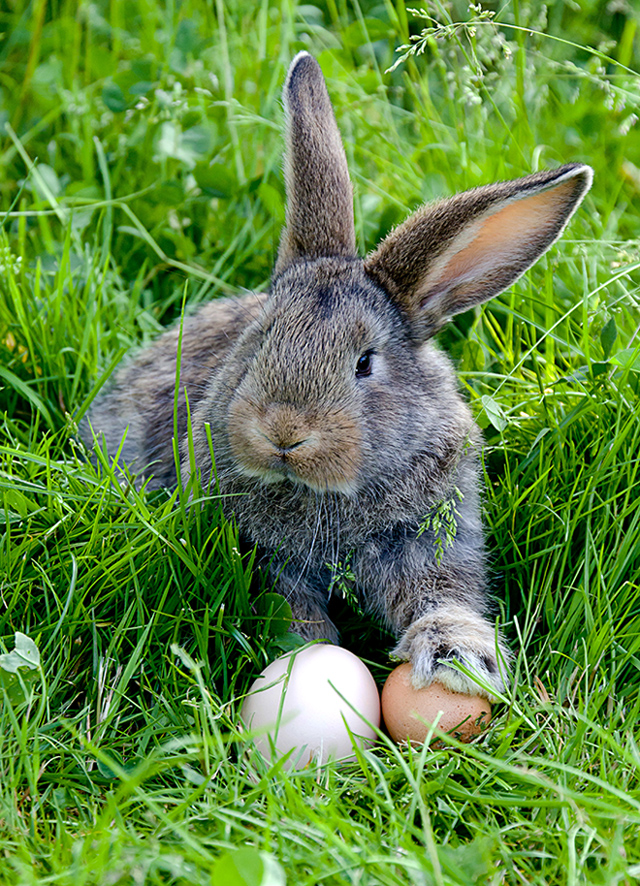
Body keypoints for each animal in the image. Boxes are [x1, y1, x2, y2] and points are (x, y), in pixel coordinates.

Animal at [84, 53, 592, 700]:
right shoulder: (267, 558)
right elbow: (292, 609)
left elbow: (442, 592)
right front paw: (311, 660)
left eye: (365, 363)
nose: (283, 432)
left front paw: (457, 655)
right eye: (260, 338)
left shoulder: (435, 535)